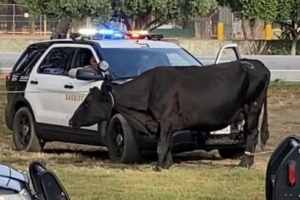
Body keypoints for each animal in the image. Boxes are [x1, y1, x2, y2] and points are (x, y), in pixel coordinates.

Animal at [69, 58, 270, 172]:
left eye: (87, 102)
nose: (71, 121)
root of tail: (258, 65)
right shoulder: (167, 124)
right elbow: (168, 145)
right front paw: (167, 164)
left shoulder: (165, 120)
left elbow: (161, 146)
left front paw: (159, 167)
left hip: (252, 107)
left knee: (252, 134)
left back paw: (245, 163)